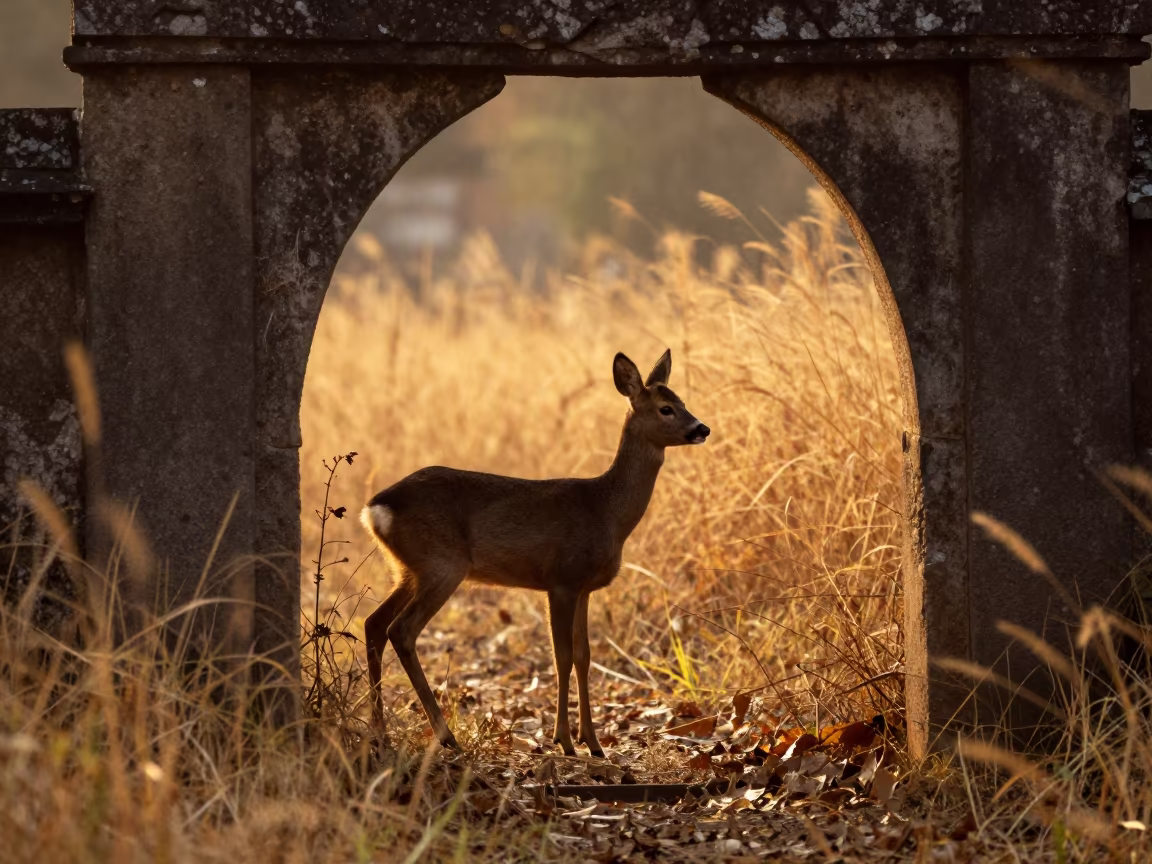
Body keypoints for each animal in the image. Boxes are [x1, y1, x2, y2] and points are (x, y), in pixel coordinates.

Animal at [360, 349, 709, 755]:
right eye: (666, 408)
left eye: (682, 401)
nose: (702, 428)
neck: (606, 510)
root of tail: (376, 509)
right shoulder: (561, 580)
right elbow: (562, 657)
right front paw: (565, 740)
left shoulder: (585, 587)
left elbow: (584, 656)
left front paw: (593, 742)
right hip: (441, 564)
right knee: (401, 630)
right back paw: (445, 737)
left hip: (406, 569)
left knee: (374, 624)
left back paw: (380, 733)